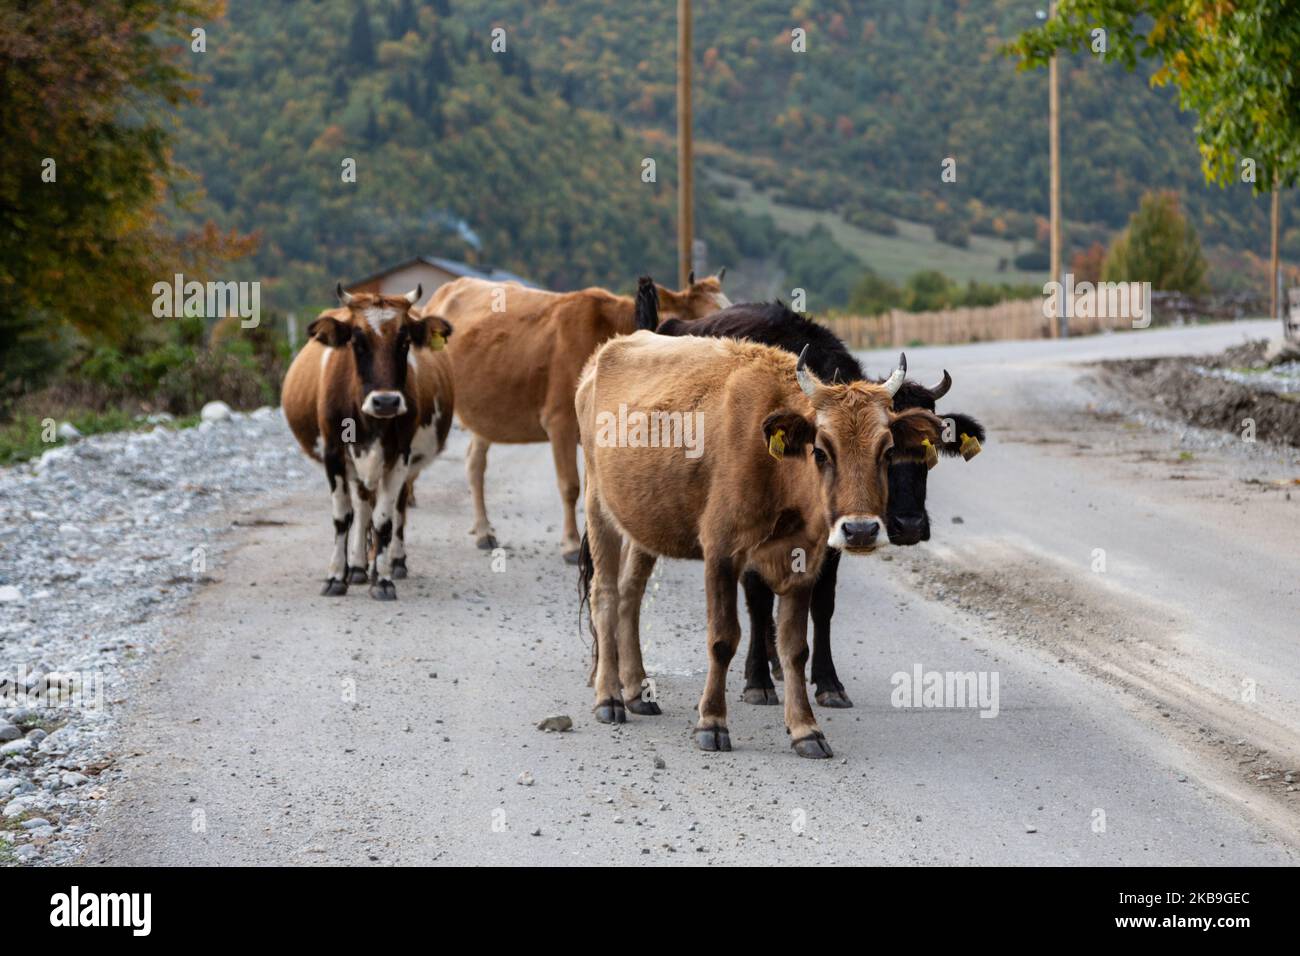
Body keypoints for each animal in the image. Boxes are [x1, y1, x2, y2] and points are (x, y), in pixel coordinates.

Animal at [281, 284, 454, 600]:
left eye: (405, 341)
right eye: (357, 341)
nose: (385, 401)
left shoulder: (399, 455)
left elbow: (385, 519)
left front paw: (383, 580)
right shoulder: (334, 453)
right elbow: (343, 516)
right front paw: (336, 576)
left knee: (394, 509)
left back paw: (391, 563)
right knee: (361, 508)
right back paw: (359, 567)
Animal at [421, 271, 730, 563]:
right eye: (709, 323)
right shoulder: (560, 422)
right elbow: (570, 486)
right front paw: (571, 545)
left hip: (486, 415)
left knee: (475, 464)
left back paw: (482, 529)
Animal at [576, 331, 944, 758]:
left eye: (887, 451)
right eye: (821, 450)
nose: (861, 530)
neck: (775, 468)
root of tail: (604, 354)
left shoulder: (804, 562)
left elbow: (794, 648)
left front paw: (806, 729)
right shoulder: (721, 553)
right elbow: (723, 639)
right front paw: (712, 722)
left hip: (643, 525)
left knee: (629, 596)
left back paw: (637, 691)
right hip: (599, 508)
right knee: (604, 594)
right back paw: (609, 698)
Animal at [639, 283, 985, 706]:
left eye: (928, 448)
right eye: (885, 452)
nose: (909, 525)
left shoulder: (838, 532)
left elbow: (822, 602)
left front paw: (827, 681)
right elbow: (758, 599)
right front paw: (757, 681)